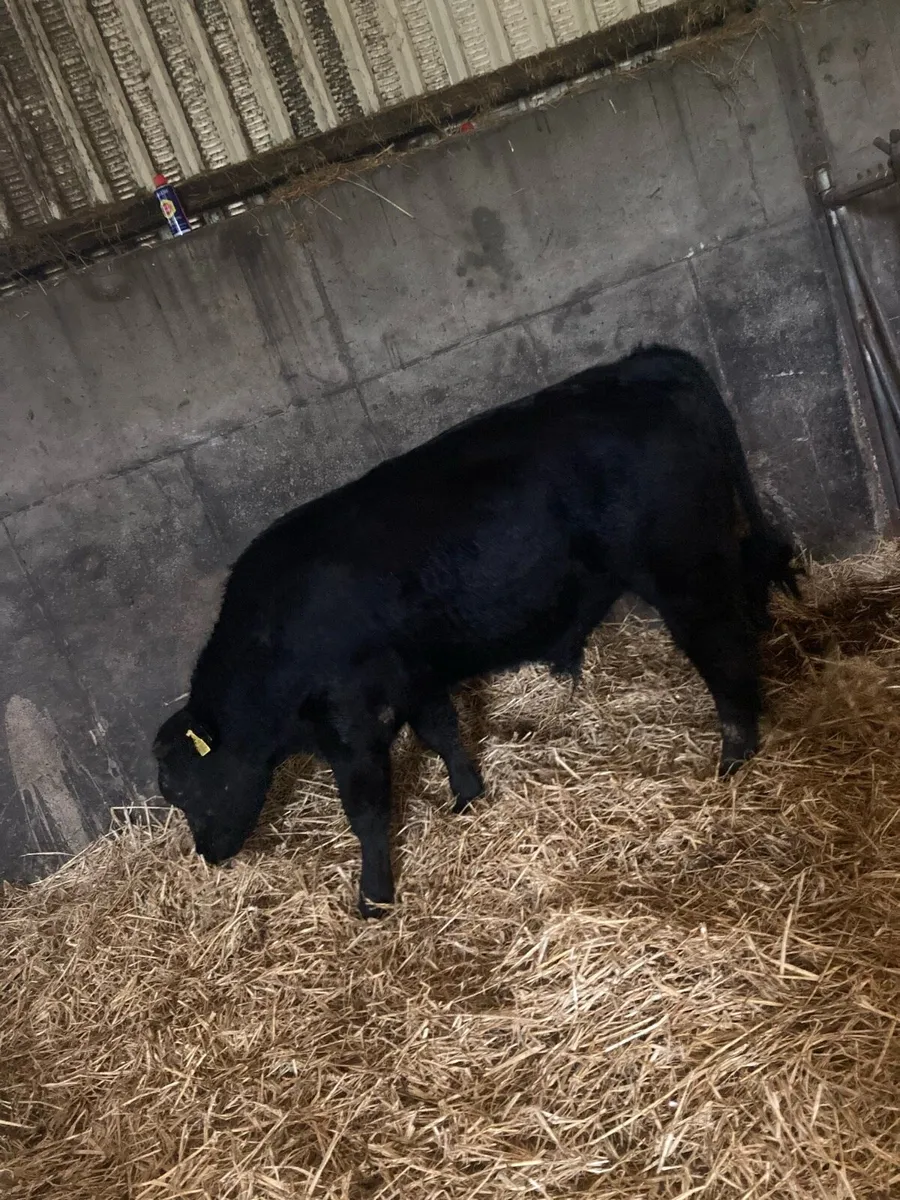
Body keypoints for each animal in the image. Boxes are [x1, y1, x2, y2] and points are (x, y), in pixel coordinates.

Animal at [153, 345, 799, 917]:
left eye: (180, 788)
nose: (208, 854)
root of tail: (644, 363)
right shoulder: (415, 678)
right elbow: (442, 732)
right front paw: (466, 796)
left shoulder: (351, 722)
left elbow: (366, 809)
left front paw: (373, 897)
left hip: (681, 568)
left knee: (720, 644)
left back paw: (735, 753)